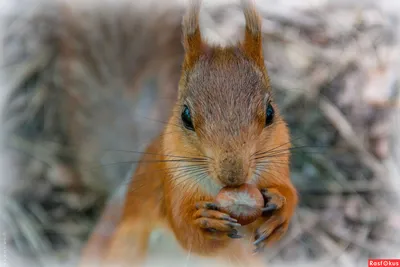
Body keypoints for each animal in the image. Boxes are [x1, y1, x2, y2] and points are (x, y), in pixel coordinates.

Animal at [80, 0, 296, 266]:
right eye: (185, 116)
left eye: (269, 112)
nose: (233, 176)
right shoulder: (171, 180)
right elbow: (186, 232)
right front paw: (203, 221)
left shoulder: (276, 164)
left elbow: (290, 193)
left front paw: (281, 209)